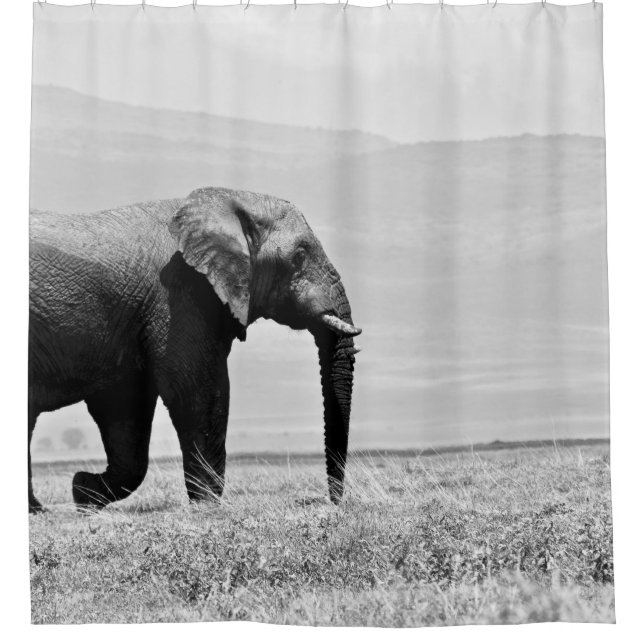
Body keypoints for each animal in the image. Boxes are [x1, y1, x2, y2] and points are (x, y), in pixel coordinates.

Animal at [29, 187, 361, 512]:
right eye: (299, 256)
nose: (334, 503)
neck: (229, 201)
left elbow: (124, 410)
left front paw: (83, 492)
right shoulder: (180, 295)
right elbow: (196, 390)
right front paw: (208, 505)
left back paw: (37, 509)